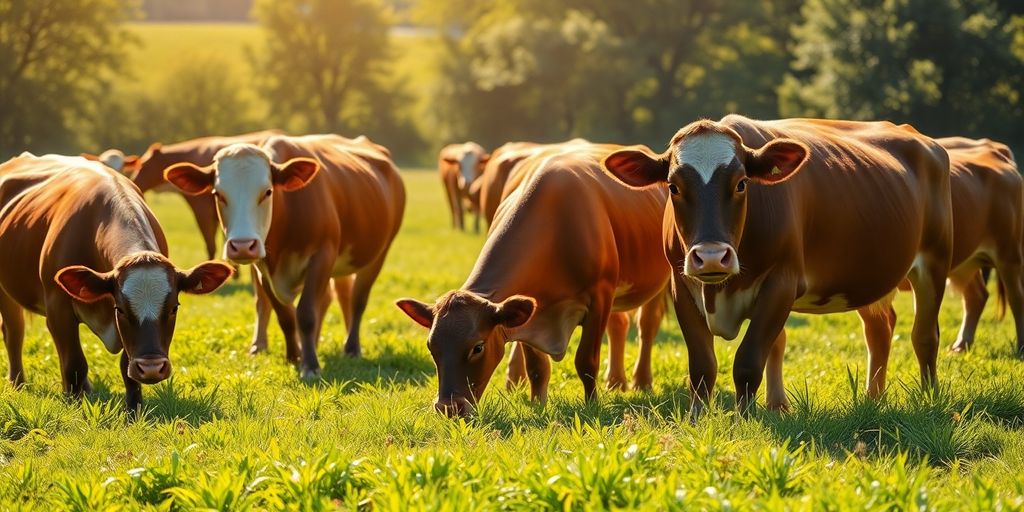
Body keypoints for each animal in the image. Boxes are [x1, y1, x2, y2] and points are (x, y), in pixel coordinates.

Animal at [0, 153, 233, 409]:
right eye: (119, 309)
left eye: (174, 308)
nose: (152, 368)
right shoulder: (58, 309)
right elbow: (74, 365)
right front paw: (76, 407)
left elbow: (126, 369)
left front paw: (134, 410)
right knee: (14, 331)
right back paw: (18, 383)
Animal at [163, 134, 406, 378]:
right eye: (218, 194)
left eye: (268, 192)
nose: (242, 246)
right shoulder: (264, 269)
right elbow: (285, 316)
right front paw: (294, 356)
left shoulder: (322, 255)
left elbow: (306, 313)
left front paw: (310, 365)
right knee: (339, 295)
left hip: (378, 255)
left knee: (357, 300)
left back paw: (352, 347)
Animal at [396, 142, 670, 417]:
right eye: (431, 346)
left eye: (478, 347)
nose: (449, 407)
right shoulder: (532, 311)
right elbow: (537, 367)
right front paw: (538, 404)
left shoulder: (600, 296)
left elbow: (586, 361)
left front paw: (592, 404)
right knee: (619, 324)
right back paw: (616, 381)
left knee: (647, 326)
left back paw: (641, 381)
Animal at [602, 115, 952, 414]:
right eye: (673, 187)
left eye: (742, 183)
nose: (712, 256)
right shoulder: (681, 286)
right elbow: (702, 365)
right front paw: (696, 418)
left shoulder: (782, 283)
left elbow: (748, 361)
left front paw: (744, 420)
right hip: (868, 275)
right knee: (879, 329)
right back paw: (872, 399)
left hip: (935, 261)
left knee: (925, 335)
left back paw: (929, 397)